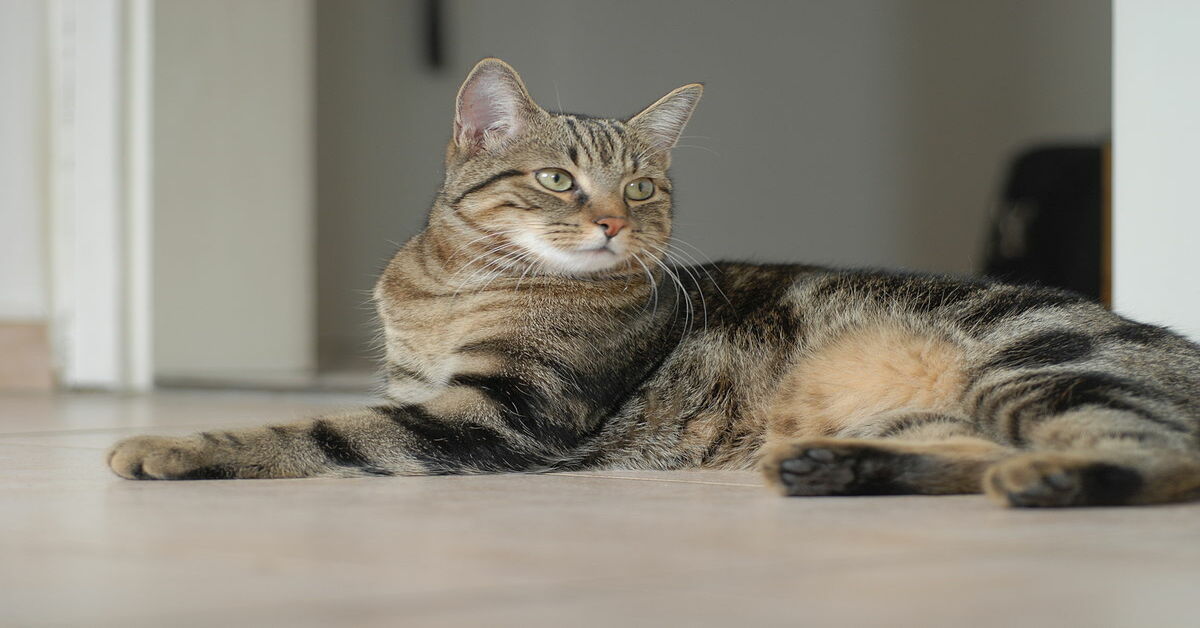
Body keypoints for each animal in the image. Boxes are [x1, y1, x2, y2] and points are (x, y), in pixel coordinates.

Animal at [110, 58, 1200, 509]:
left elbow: (310, 431)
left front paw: (168, 445)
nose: (612, 223)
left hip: (1036, 365)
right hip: (939, 406)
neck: (453, 285)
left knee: (1156, 455)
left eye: (640, 185)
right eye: (558, 178)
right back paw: (837, 467)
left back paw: (1057, 482)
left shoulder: (504, 412)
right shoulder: (426, 388)